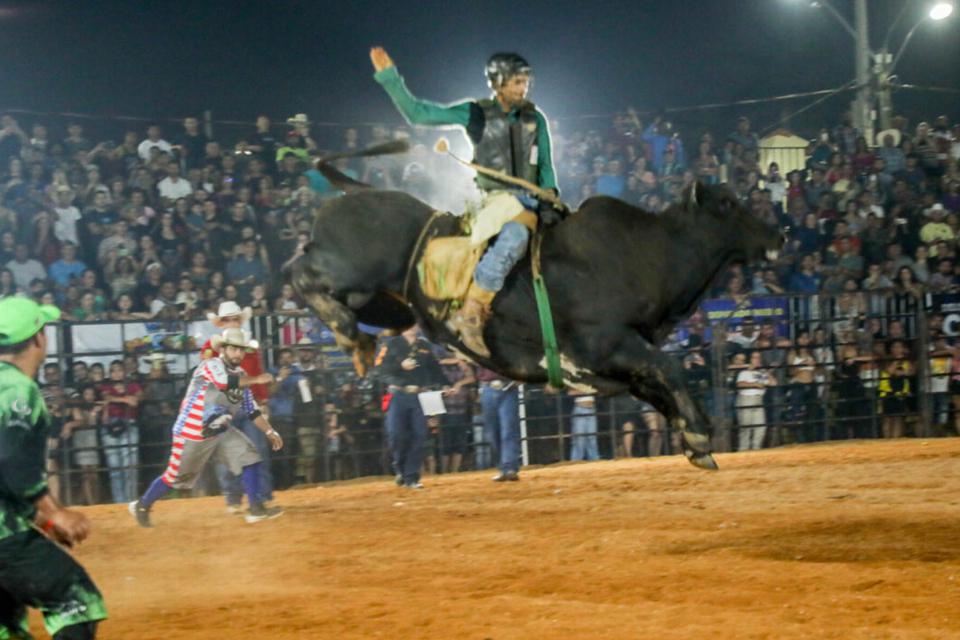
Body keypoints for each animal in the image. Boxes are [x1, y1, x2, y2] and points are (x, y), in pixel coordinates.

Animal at [290, 182, 780, 468]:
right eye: (728, 204)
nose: (780, 235)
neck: (651, 253)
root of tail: (333, 206)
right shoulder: (609, 344)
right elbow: (671, 368)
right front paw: (698, 432)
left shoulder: (624, 365)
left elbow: (661, 386)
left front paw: (692, 438)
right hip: (350, 271)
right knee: (299, 272)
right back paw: (344, 331)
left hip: (389, 306)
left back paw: (356, 342)